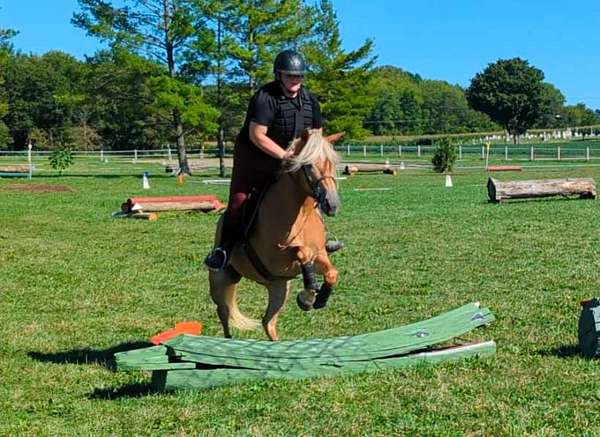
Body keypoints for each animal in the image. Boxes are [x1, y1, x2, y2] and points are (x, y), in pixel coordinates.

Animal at [210, 129, 342, 340]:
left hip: (279, 288)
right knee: (223, 311)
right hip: (219, 280)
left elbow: (331, 272)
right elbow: (301, 251)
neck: (299, 214)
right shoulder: (274, 258)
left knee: (268, 322)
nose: (332, 204)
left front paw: (315, 298)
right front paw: (308, 296)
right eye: (309, 165)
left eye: (333, 163)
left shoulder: (319, 255)